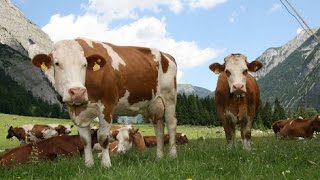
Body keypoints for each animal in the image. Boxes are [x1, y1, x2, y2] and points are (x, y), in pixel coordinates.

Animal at [31, 37, 178, 167]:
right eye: (57, 63)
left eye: (84, 64)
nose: (77, 92)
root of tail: (167, 55)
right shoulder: (78, 111)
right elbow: (85, 140)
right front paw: (88, 165)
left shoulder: (107, 106)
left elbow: (103, 138)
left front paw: (106, 164)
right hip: (153, 105)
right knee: (159, 127)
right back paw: (159, 157)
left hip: (169, 98)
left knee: (171, 124)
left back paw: (172, 155)